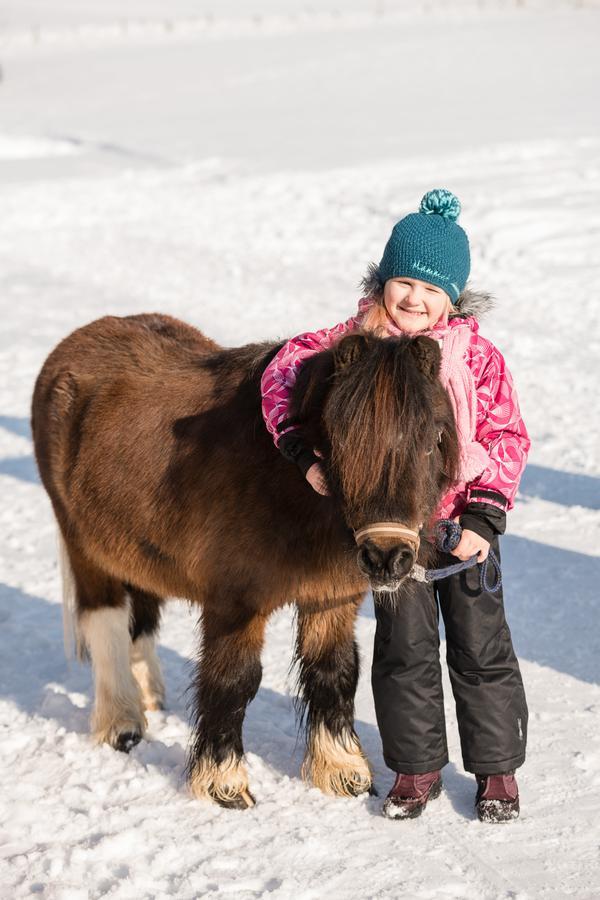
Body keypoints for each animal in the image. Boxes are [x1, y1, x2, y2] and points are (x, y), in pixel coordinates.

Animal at [30, 314, 458, 808]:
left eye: (433, 439)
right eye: (341, 441)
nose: (387, 557)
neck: (285, 484)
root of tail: (73, 344)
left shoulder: (331, 598)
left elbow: (334, 672)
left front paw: (342, 771)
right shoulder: (234, 603)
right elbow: (232, 680)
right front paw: (223, 782)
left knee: (141, 614)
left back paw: (148, 694)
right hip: (84, 548)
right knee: (107, 623)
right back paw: (121, 722)